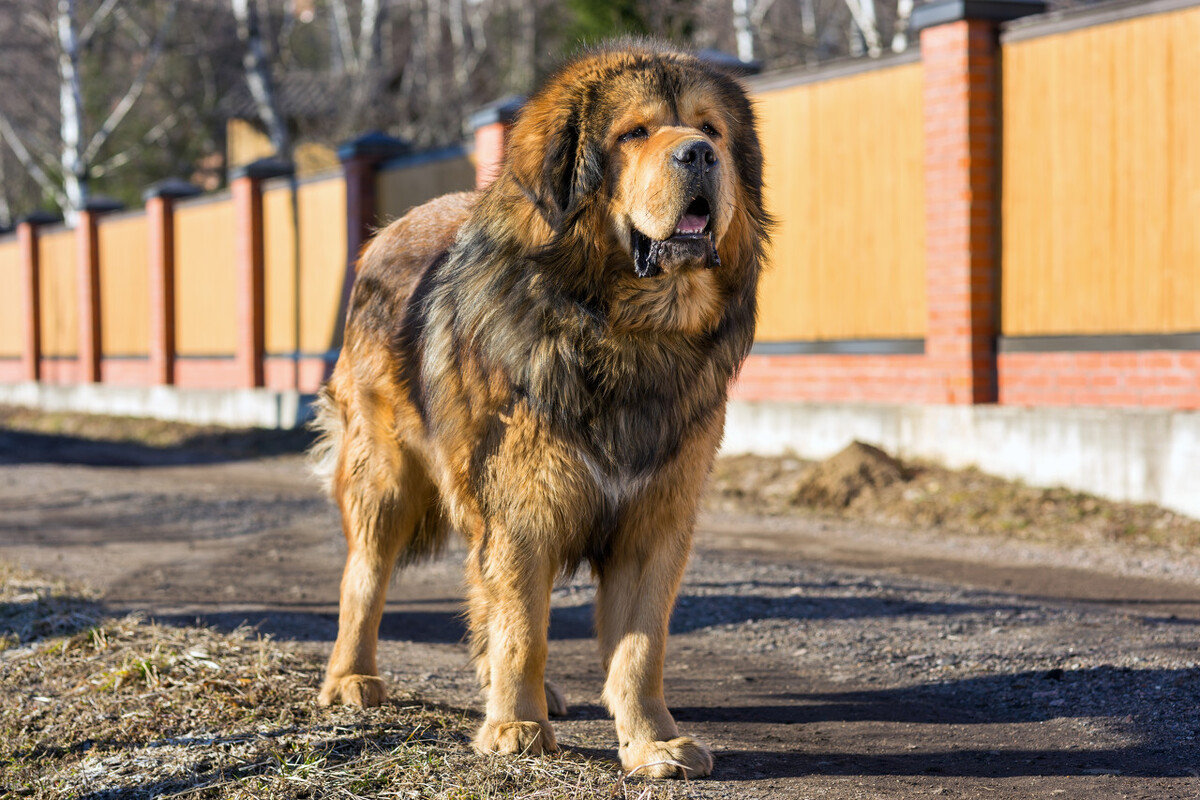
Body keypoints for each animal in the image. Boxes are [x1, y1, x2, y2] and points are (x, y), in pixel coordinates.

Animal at [312, 40, 768, 777]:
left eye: (711, 129)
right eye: (635, 133)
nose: (699, 153)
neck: (628, 335)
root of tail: (386, 233)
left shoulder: (656, 523)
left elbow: (640, 649)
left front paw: (651, 741)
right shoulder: (524, 508)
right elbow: (524, 626)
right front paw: (516, 727)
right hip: (383, 477)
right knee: (365, 578)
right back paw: (352, 678)